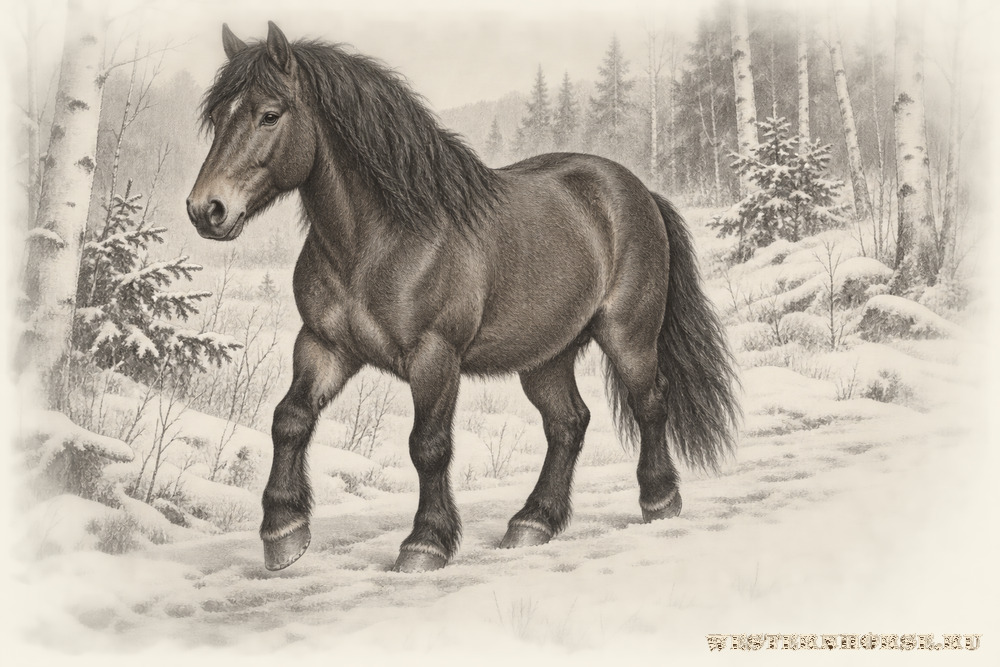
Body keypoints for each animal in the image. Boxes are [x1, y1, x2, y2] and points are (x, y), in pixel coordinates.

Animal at [187, 22, 740, 573]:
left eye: (269, 115)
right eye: (217, 116)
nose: (206, 209)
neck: (378, 241)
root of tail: (639, 190)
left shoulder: (435, 356)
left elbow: (428, 446)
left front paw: (425, 543)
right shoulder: (324, 345)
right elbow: (290, 419)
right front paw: (283, 531)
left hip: (628, 334)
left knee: (649, 403)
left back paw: (659, 502)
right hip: (546, 354)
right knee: (567, 423)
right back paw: (533, 521)